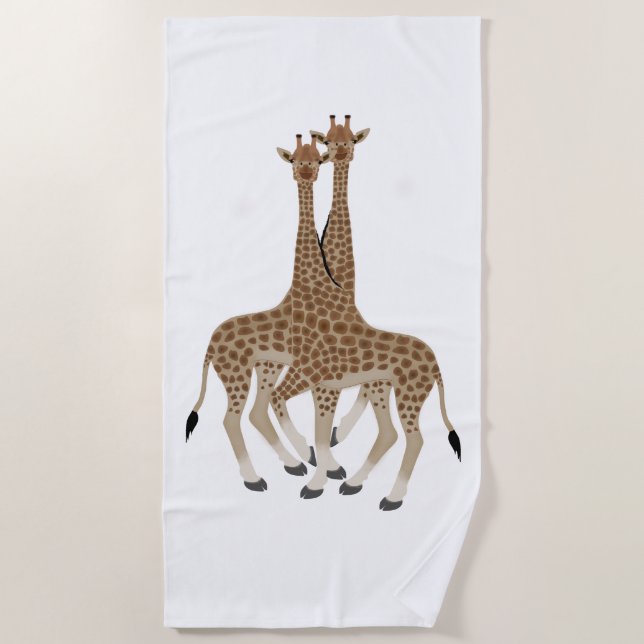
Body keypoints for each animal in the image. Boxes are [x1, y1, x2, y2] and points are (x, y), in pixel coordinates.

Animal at [269, 128, 462, 511]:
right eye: (297, 159)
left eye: (317, 158)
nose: (307, 173)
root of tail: (436, 365)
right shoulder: (320, 381)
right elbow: (310, 425)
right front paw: (320, 468)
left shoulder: (317, 377)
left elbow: (305, 421)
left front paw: (317, 473)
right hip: (380, 387)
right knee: (388, 433)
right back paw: (352, 480)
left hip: (407, 393)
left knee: (414, 438)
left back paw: (391, 497)